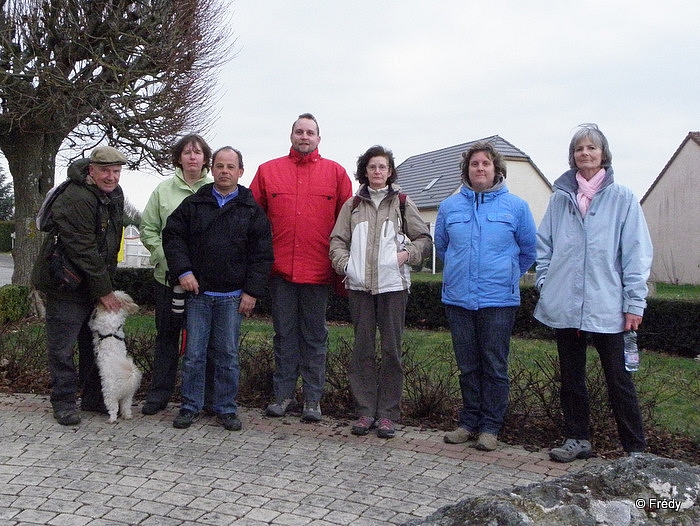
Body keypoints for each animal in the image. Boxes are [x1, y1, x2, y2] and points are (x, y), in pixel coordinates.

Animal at [88, 290, 142, 422]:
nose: (96, 300)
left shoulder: (96, 324)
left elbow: (91, 323)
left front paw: (94, 311)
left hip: (109, 394)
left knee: (113, 408)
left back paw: (111, 419)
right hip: (128, 397)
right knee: (126, 407)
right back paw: (127, 416)